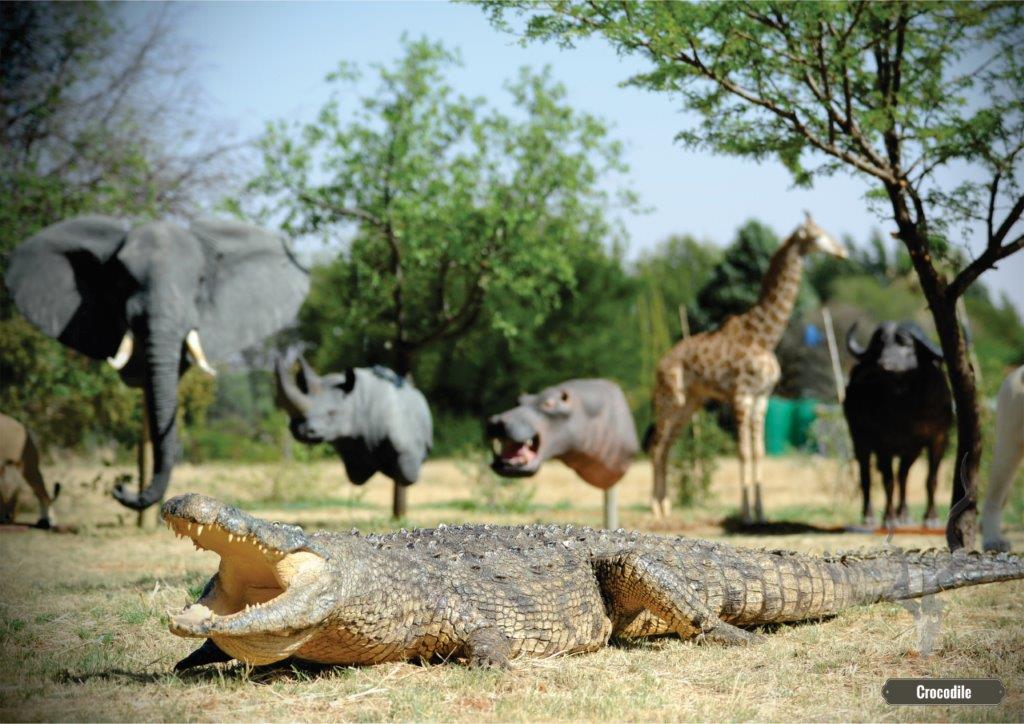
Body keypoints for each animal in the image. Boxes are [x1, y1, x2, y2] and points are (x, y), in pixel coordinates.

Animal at [646, 213, 847, 521]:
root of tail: (660, 365)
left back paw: (666, 506)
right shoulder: (741, 396)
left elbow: (759, 451)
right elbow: (743, 451)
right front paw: (745, 513)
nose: (842, 251)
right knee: (656, 446)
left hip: (691, 403)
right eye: (817, 236)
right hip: (670, 399)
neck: (764, 337)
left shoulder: (761, 398)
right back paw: (656, 508)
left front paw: (761, 512)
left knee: (667, 446)